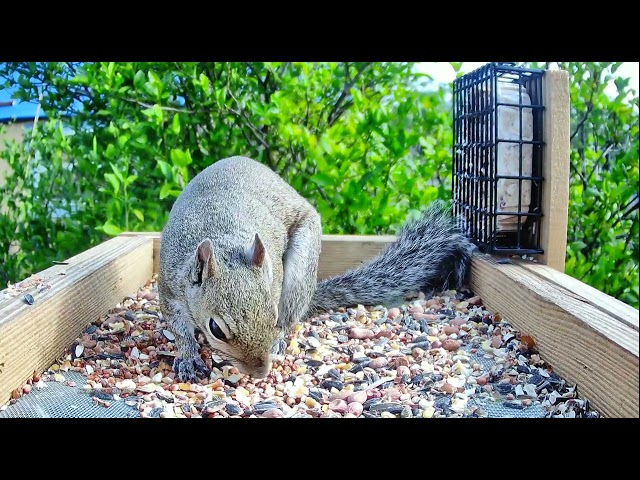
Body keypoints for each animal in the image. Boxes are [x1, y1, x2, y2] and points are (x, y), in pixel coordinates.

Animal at [155, 157, 476, 382]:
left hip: (300, 274)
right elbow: (179, 329)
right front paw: (188, 357)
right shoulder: (169, 287)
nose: (260, 372)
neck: (221, 237)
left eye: (272, 315)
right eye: (215, 329)